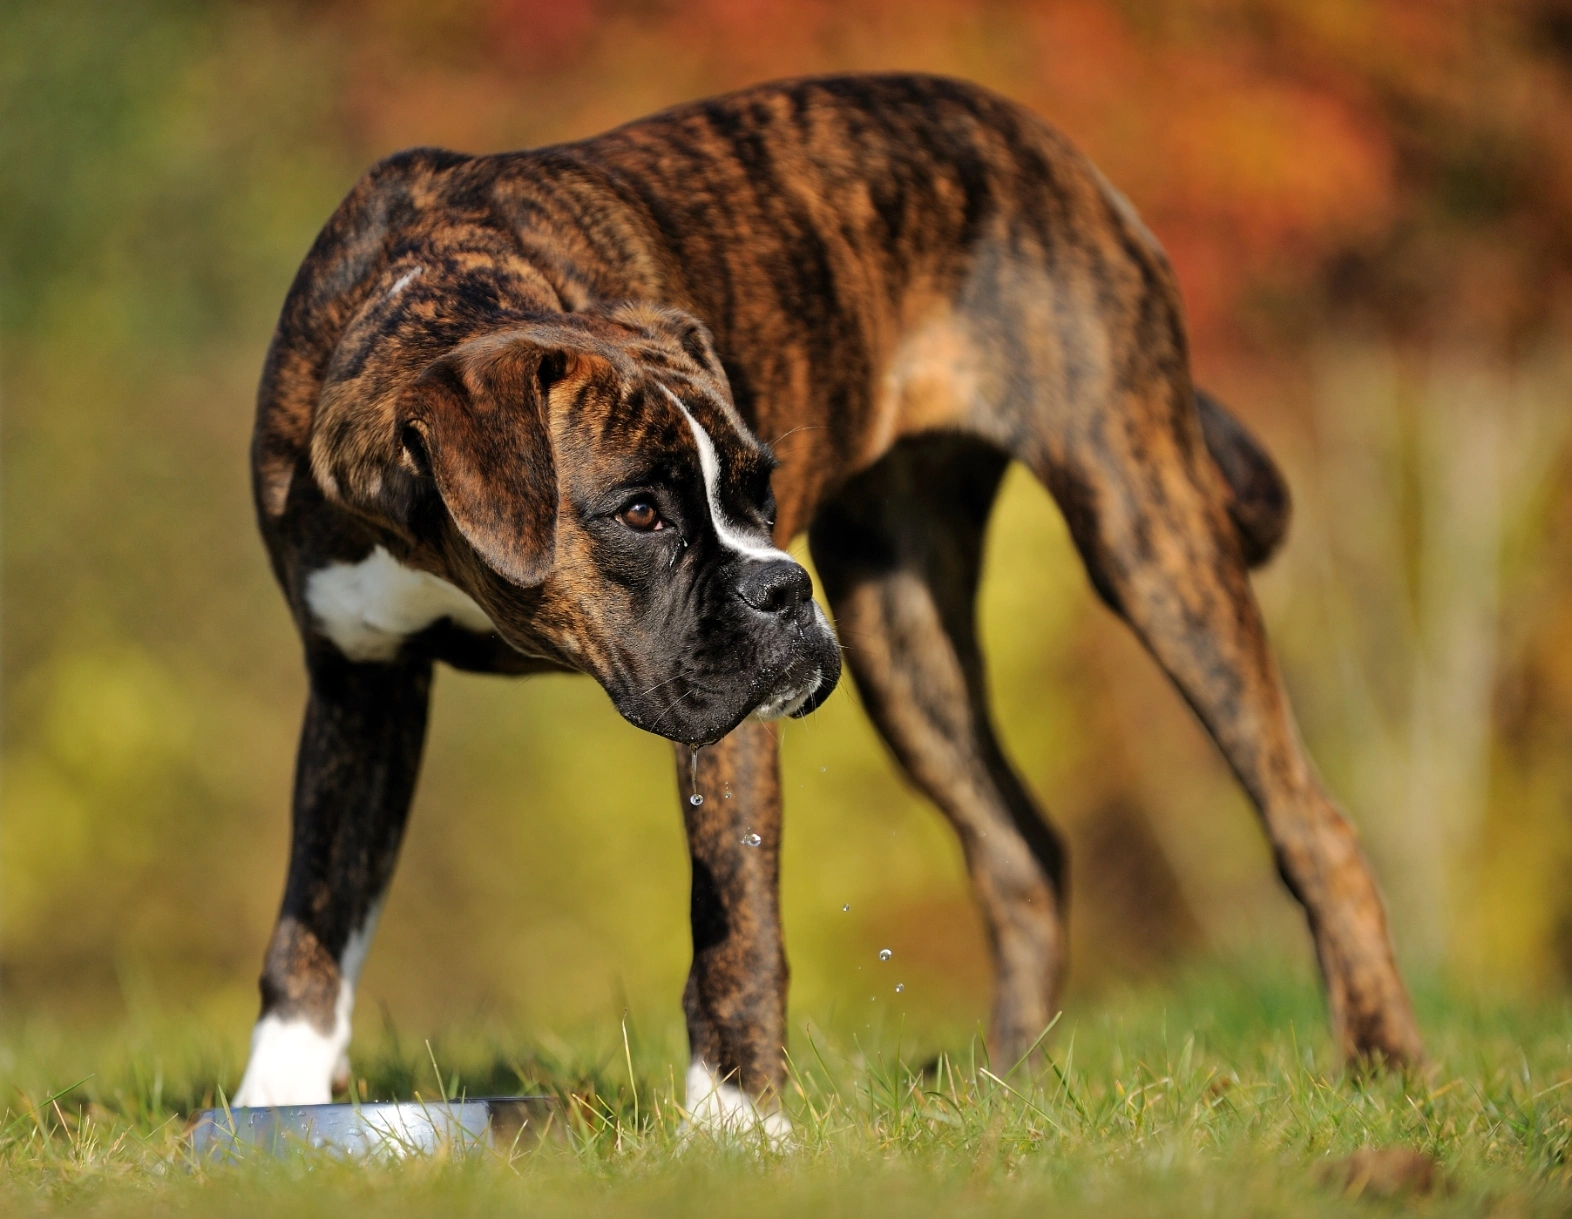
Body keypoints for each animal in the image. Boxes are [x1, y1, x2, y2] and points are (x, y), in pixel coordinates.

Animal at [235, 71, 1427, 1132]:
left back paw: (1384, 1065)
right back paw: (1008, 1096)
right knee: (1020, 851)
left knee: (1309, 822)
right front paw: (272, 1110)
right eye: (639, 513)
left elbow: (736, 928)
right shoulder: (360, 686)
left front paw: (737, 1124)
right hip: (905, 634)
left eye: (760, 486)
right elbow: (313, 923)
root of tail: (1057, 154)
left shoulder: (725, 733)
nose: (780, 582)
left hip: (1143, 526)